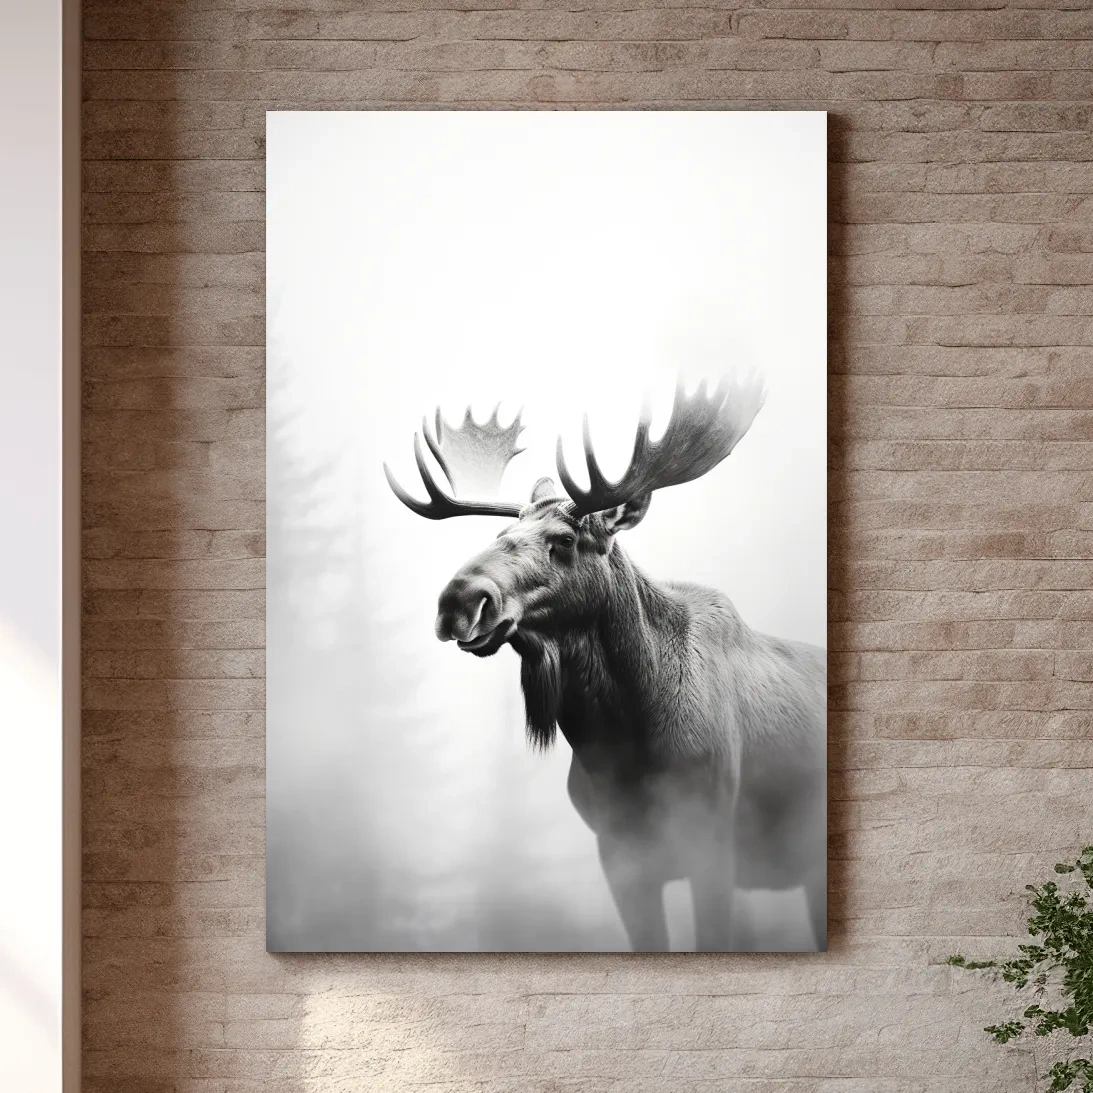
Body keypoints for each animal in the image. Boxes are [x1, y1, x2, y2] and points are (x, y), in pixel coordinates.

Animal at [383, 378, 826, 951]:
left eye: (565, 540)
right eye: (498, 537)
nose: (458, 600)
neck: (623, 743)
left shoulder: (712, 842)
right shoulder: (619, 855)